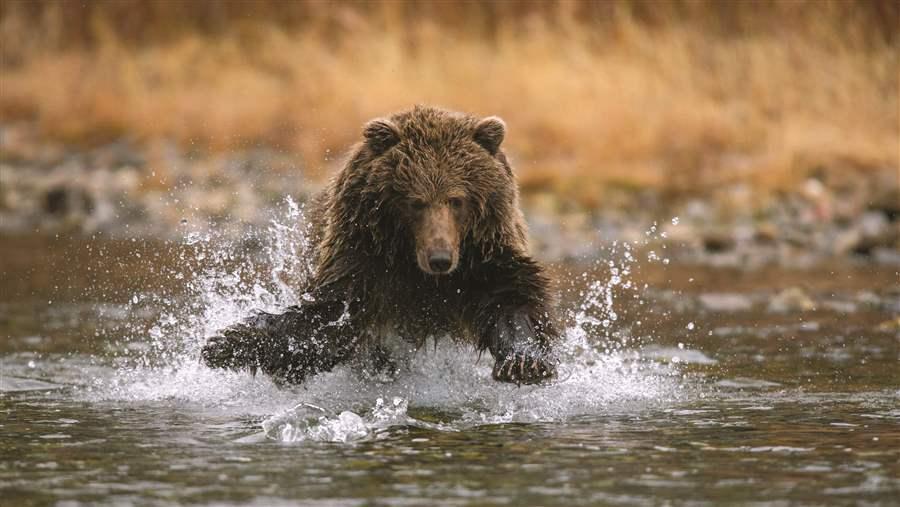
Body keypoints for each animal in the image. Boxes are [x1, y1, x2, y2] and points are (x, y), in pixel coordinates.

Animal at [200, 106, 560, 384]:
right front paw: (222, 342)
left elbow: (513, 302)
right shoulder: (364, 261)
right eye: (416, 202)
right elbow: (329, 319)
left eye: (456, 200)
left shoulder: (483, 259)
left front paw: (524, 362)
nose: (440, 258)